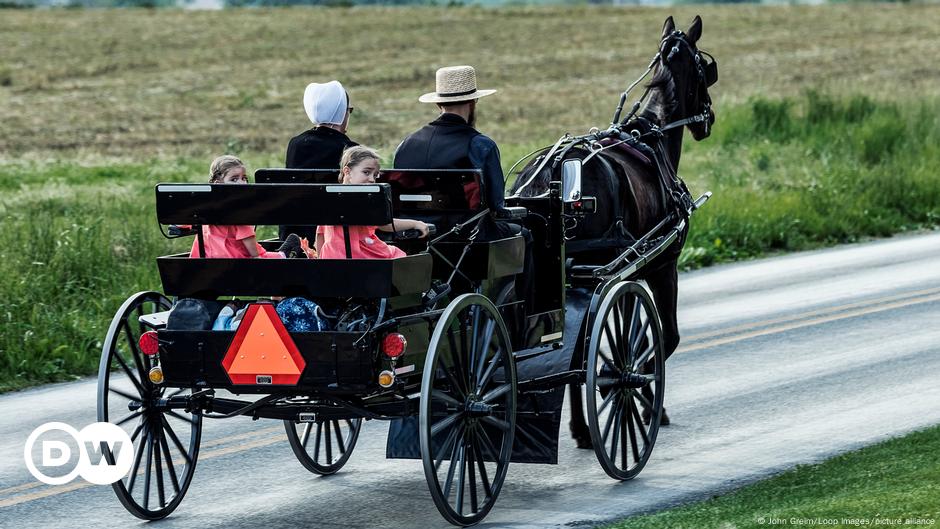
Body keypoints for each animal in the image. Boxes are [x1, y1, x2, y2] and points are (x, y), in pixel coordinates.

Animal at [510, 15, 716, 446]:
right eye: (704, 69)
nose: (709, 118)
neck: (653, 133)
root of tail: (551, 172)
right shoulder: (659, 266)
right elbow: (656, 339)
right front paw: (647, 402)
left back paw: (579, 426)